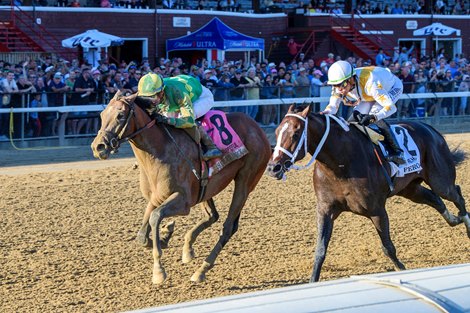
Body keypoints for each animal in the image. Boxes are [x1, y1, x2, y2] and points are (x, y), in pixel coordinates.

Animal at [91, 91, 272, 284]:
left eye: (120, 115)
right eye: (102, 115)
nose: (98, 147)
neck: (158, 151)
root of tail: (258, 128)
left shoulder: (183, 201)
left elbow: (155, 217)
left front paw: (159, 270)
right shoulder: (155, 198)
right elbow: (142, 235)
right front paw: (165, 235)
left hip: (246, 181)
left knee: (228, 227)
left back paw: (201, 270)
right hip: (206, 188)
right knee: (212, 216)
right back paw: (188, 248)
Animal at [266, 103, 468, 282]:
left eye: (295, 133)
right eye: (276, 133)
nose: (273, 168)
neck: (341, 163)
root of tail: (431, 130)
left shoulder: (377, 210)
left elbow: (388, 247)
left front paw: (401, 270)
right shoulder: (325, 209)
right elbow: (320, 250)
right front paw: (312, 281)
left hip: (440, 180)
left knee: (456, 194)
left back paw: (466, 224)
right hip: (410, 189)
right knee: (435, 199)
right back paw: (454, 219)